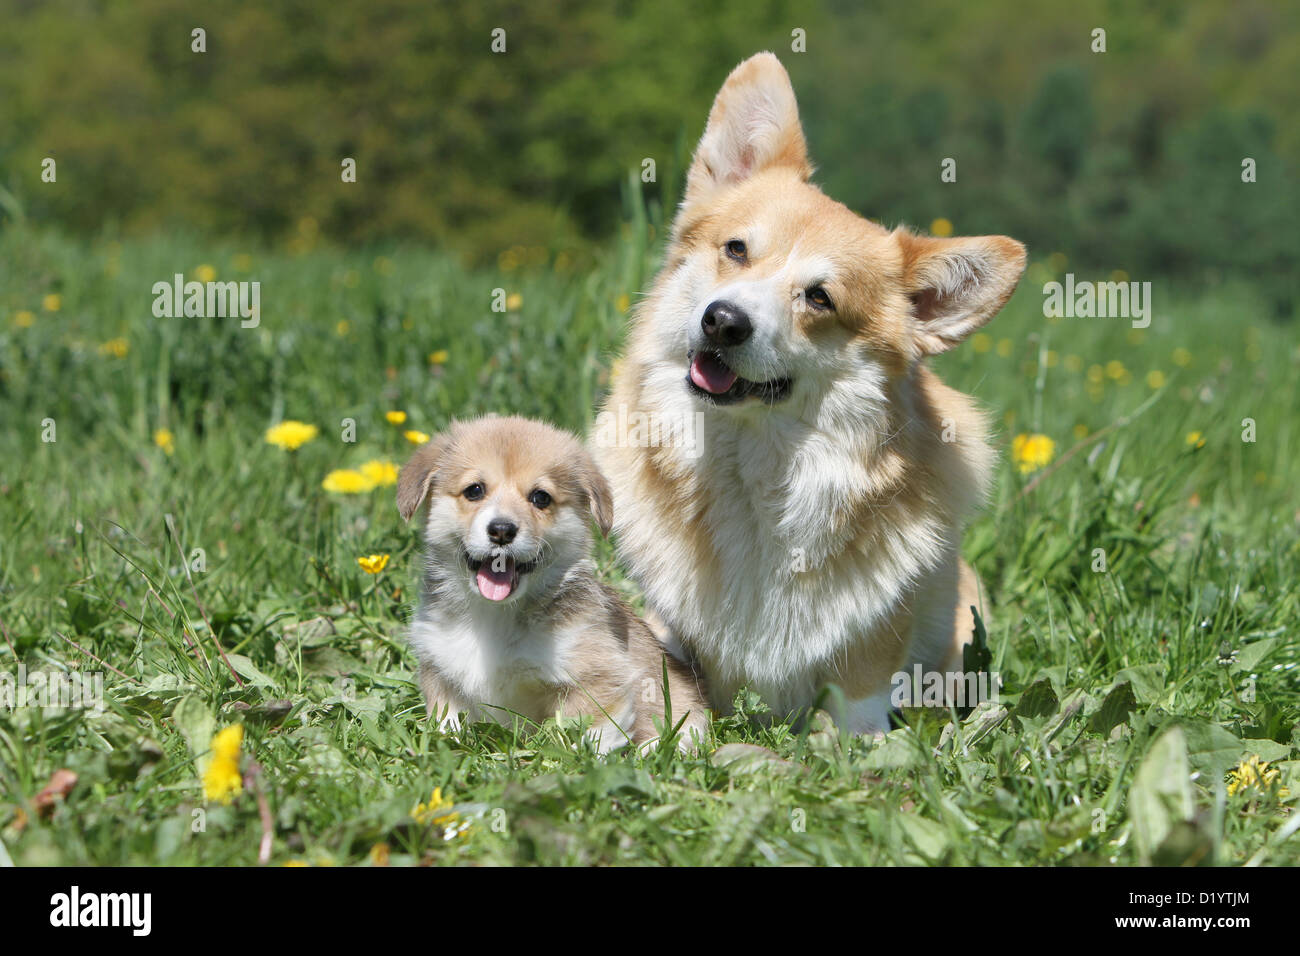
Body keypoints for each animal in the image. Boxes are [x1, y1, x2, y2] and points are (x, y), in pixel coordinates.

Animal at [397, 416, 712, 749]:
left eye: (540, 497)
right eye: (474, 490)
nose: (502, 530)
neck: (495, 615)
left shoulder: (598, 679)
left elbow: (591, 737)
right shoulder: (442, 671)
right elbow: (449, 725)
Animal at [598, 52, 1024, 738]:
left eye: (819, 298)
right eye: (736, 250)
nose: (723, 321)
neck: (755, 469)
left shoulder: (871, 659)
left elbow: (854, 712)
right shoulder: (674, 633)